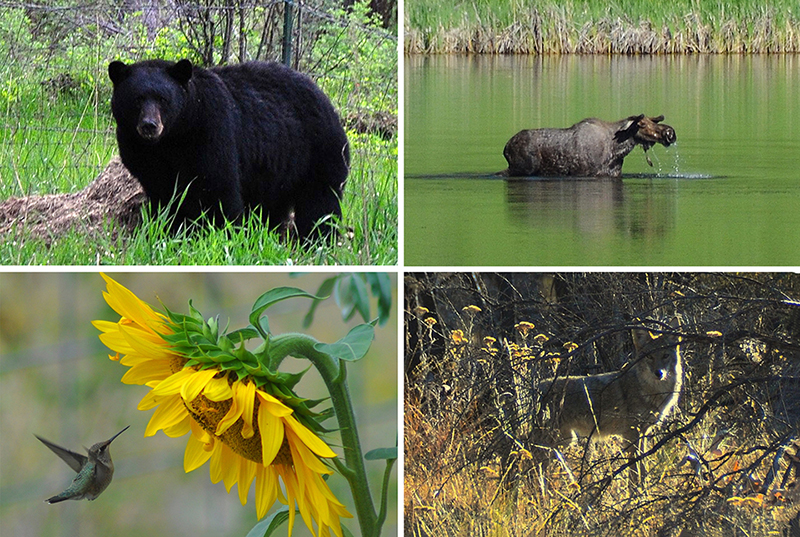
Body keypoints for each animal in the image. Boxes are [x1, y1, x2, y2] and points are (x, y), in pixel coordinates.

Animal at [108, 58, 348, 239]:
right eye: (137, 99)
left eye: (163, 99)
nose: (149, 125)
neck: (172, 139)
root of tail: (328, 103)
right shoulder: (140, 151)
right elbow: (165, 194)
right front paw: (172, 229)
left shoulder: (211, 129)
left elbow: (217, 187)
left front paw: (222, 234)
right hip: (278, 168)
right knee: (271, 204)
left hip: (320, 151)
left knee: (320, 203)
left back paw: (317, 240)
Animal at [500, 114, 676, 177]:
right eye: (642, 124)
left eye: (654, 122)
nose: (670, 132)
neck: (615, 152)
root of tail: (505, 148)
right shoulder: (583, 172)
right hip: (522, 168)